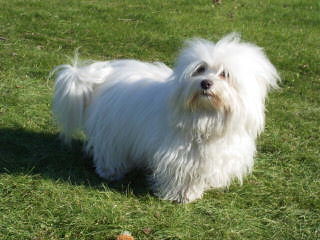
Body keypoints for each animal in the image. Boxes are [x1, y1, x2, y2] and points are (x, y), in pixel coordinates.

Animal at [52, 33, 278, 202]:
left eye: (225, 74)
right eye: (200, 69)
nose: (205, 83)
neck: (206, 115)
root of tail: (102, 74)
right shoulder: (179, 155)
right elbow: (181, 175)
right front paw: (181, 196)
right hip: (113, 133)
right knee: (109, 152)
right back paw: (110, 172)